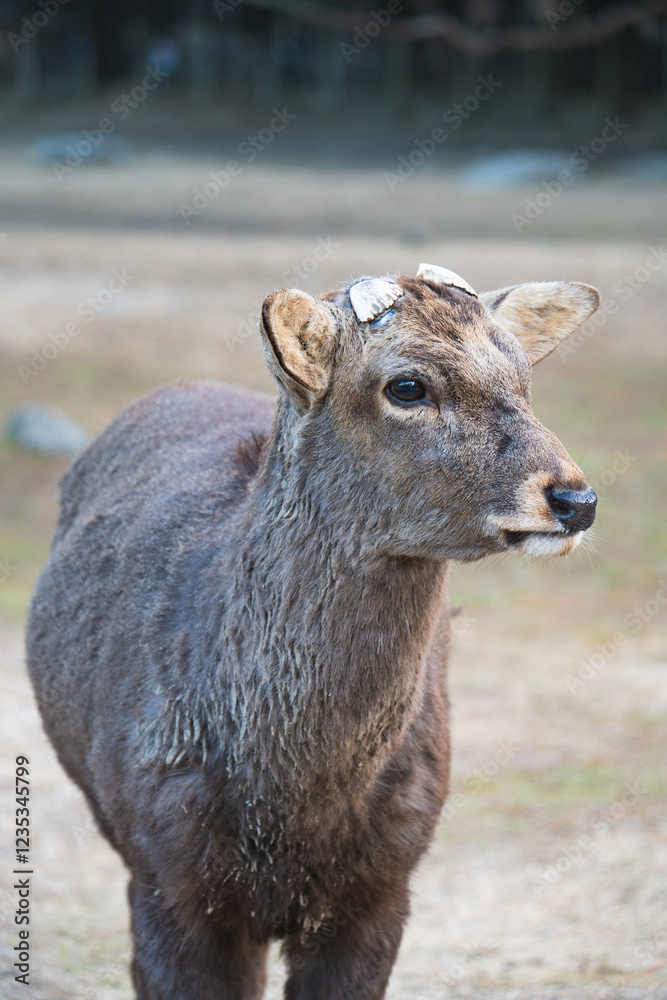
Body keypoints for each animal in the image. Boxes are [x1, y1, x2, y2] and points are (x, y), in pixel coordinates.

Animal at [26, 264, 599, 1000]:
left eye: (523, 373)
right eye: (406, 386)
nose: (575, 499)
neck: (292, 811)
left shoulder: (386, 884)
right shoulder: (163, 878)